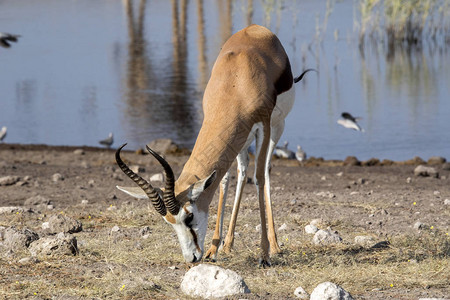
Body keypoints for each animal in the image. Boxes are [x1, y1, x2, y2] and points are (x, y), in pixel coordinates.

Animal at [116, 25, 312, 264]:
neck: (236, 82)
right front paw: (213, 249)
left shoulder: (263, 126)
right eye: (169, 222)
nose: (191, 258)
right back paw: (227, 245)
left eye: (189, 216)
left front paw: (264, 255)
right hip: (242, 139)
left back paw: (274, 246)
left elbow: (258, 179)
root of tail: (256, 29)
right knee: (240, 171)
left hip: (276, 127)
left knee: (265, 171)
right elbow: (223, 181)